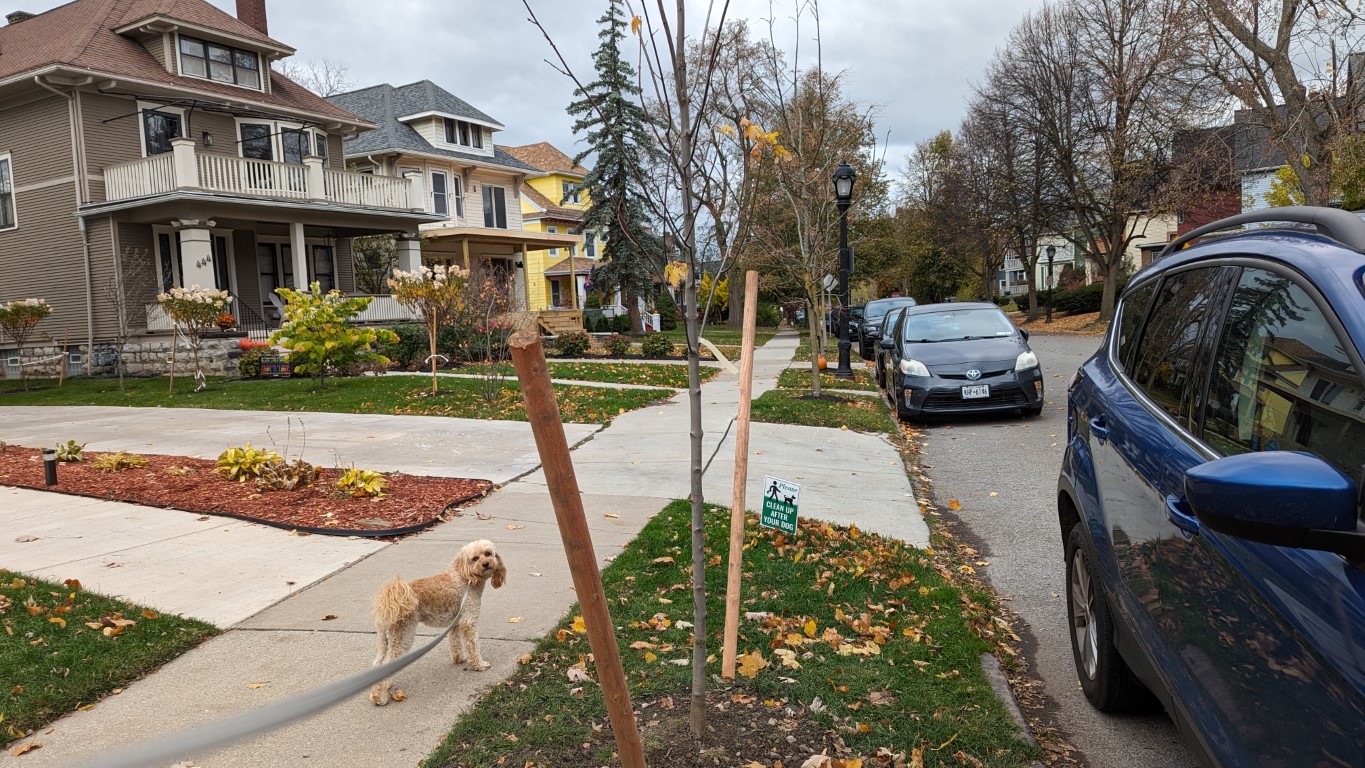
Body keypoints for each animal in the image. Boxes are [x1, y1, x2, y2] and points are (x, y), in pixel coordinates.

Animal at [368, 537, 507, 703]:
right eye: (474, 558)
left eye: (488, 554)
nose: (486, 563)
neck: (466, 577)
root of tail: (387, 602)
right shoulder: (469, 620)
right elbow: (473, 645)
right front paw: (479, 664)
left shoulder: (455, 622)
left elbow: (455, 642)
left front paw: (459, 658)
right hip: (403, 635)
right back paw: (379, 698)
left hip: (385, 640)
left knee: (378, 664)